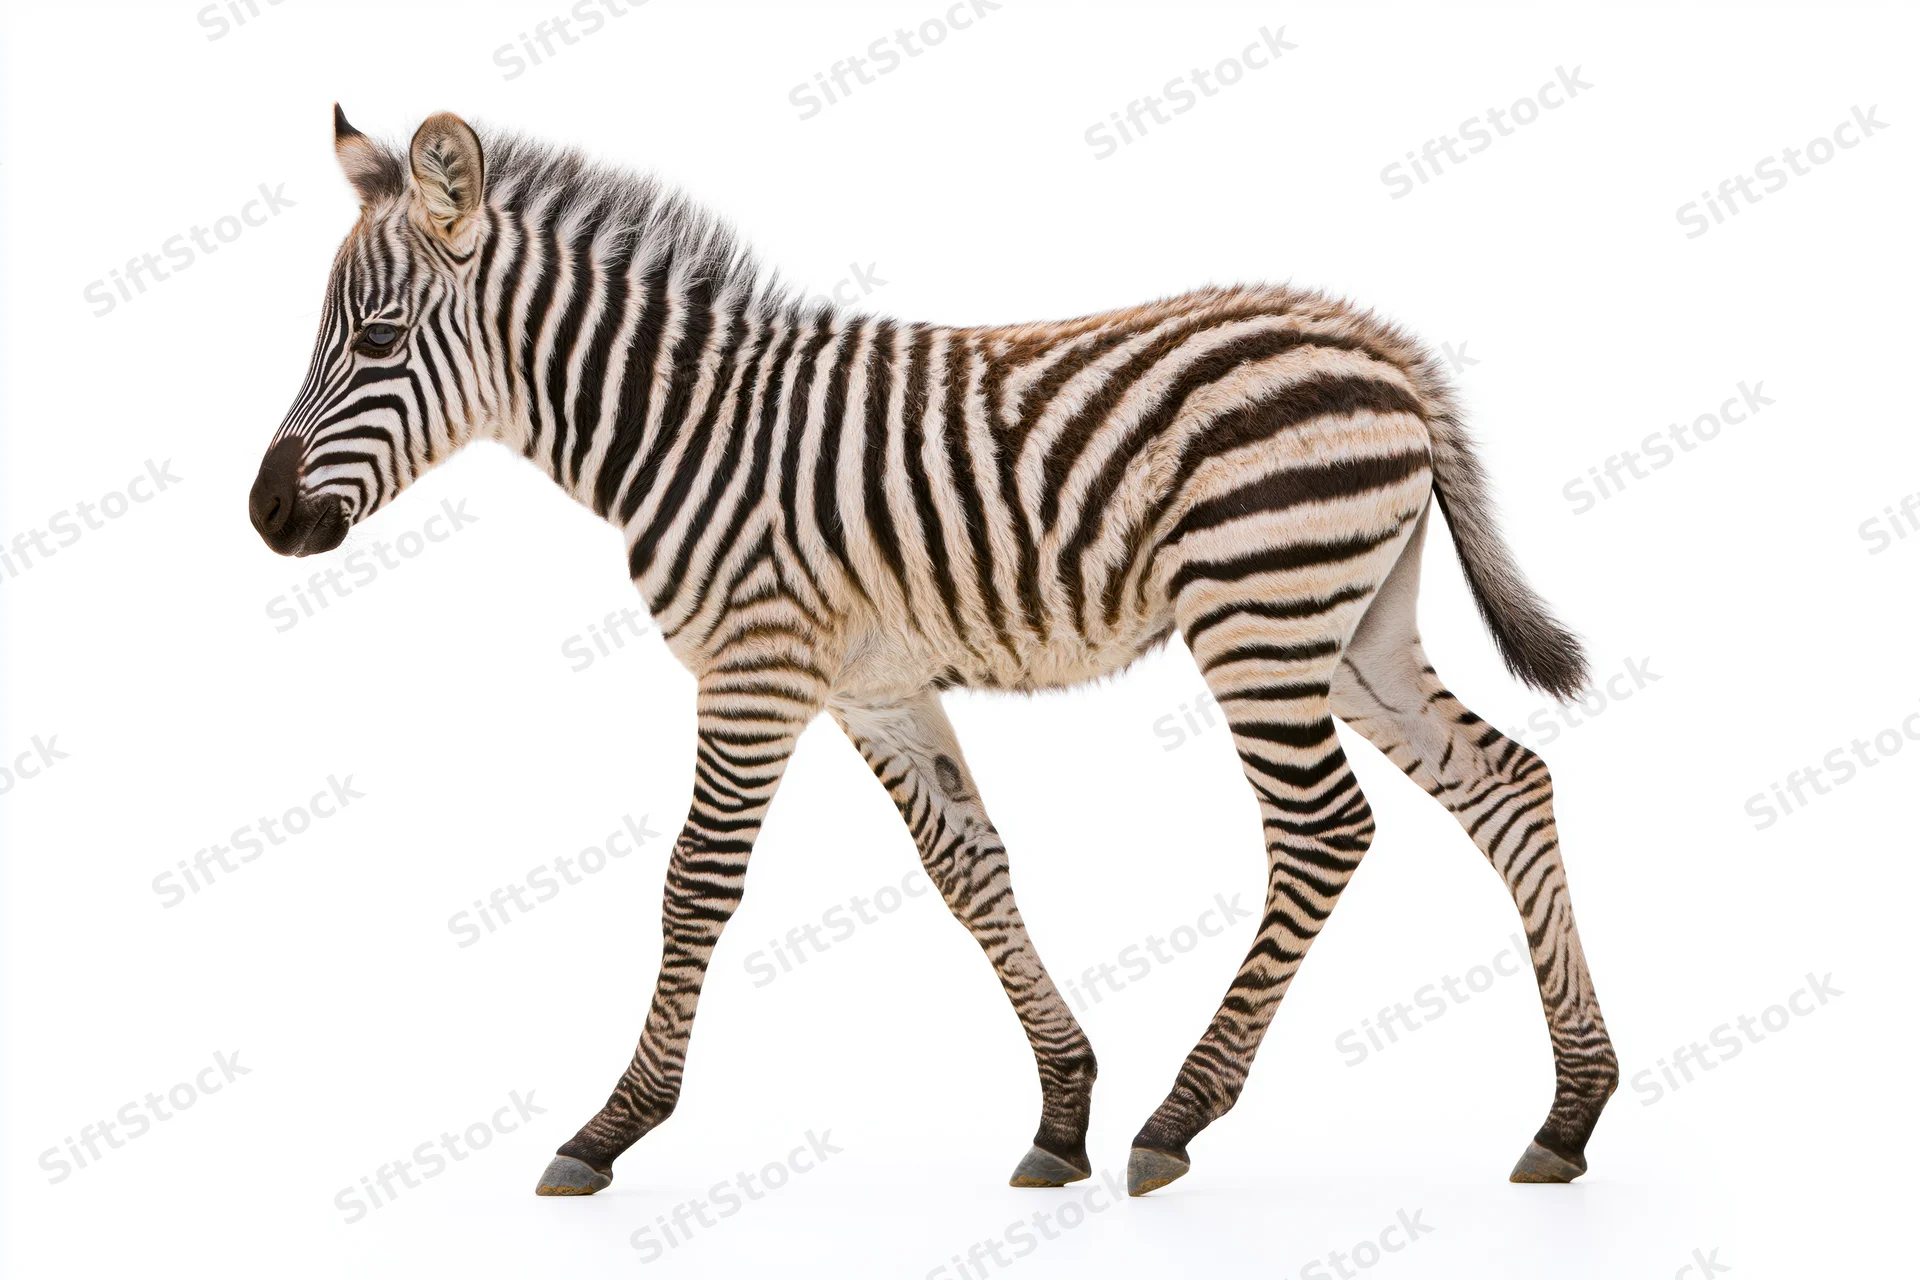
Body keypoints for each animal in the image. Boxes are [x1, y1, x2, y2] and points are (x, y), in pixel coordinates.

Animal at [249, 108, 1618, 1198]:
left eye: (376, 341)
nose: (264, 518)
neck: (682, 427)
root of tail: (1378, 342)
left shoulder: (756, 668)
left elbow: (696, 883)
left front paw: (611, 1125)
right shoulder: (876, 685)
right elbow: (971, 869)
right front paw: (1062, 1109)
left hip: (1262, 615)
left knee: (1327, 831)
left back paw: (1182, 1114)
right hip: (1353, 623)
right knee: (1508, 785)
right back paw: (1570, 1111)